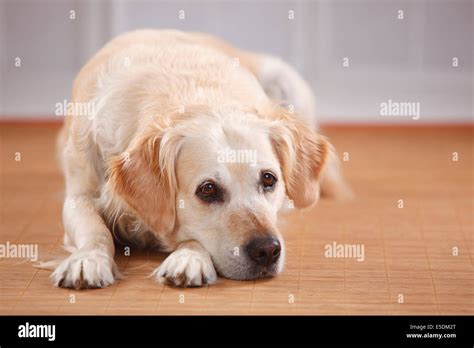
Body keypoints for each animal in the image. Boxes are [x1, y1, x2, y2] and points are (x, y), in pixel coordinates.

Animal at [49, 29, 348, 288]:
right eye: (208, 190)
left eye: (269, 179)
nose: (267, 251)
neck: (194, 92)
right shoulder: (78, 194)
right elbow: (94, 229)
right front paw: (88, 259)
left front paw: (188, 257)